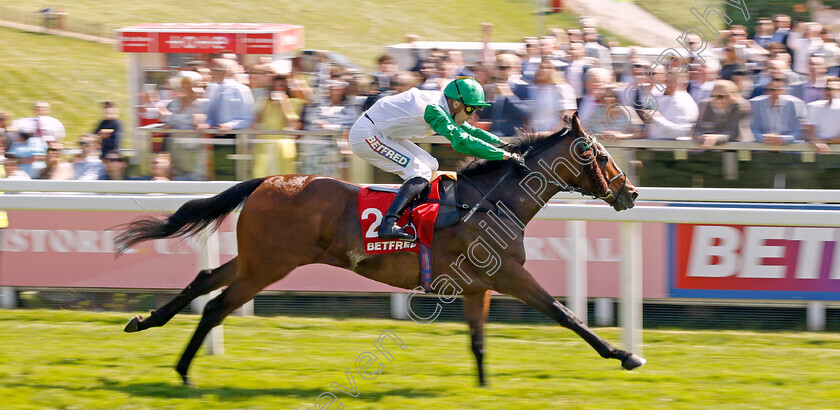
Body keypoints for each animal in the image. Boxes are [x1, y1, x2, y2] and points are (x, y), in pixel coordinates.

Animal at [115, 113, 644, 388]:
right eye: (599, 154)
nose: (631, 192)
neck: (490, 201)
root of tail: (266, 180)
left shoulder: (479, 287)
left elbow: (478, 341)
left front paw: (483, 389)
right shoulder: (509, 275)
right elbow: (565, 314)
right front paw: (624, 355)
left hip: (256, 259)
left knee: (205, 282)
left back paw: (147, 325)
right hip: (267, 266)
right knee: (217, 306)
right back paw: (184, 371)